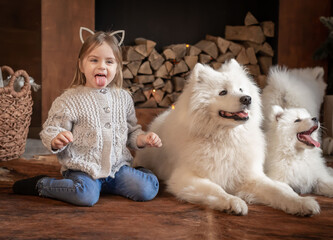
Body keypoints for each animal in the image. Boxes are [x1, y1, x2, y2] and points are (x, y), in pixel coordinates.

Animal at [135, 59, 320, 216]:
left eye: (241, 90)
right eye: (223, 92)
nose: (247, 99)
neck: (226, 138)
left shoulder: (250, 176)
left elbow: (277, 191)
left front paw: (301, 203)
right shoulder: (185, 177)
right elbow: (215, 189)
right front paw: (233, 202)